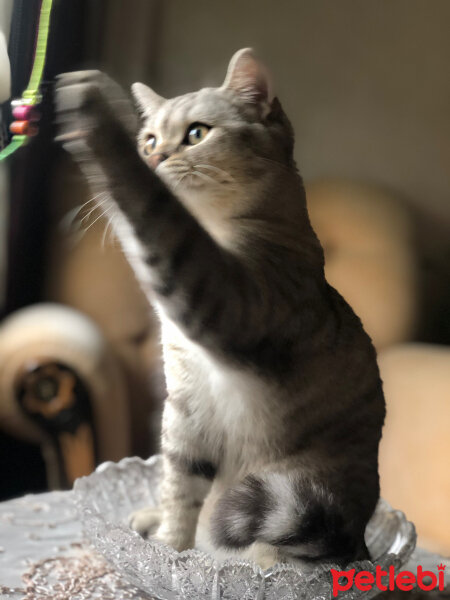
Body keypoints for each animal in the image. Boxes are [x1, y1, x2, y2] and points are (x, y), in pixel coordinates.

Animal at [55, 49, 386, 568]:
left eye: (196, 133)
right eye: (150, 138)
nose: (153, 155)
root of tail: (357, 543)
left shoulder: (227, 301)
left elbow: (148, 210)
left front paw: (96, 109)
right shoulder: (186, 406)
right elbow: (178, 486)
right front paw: (168, 547)